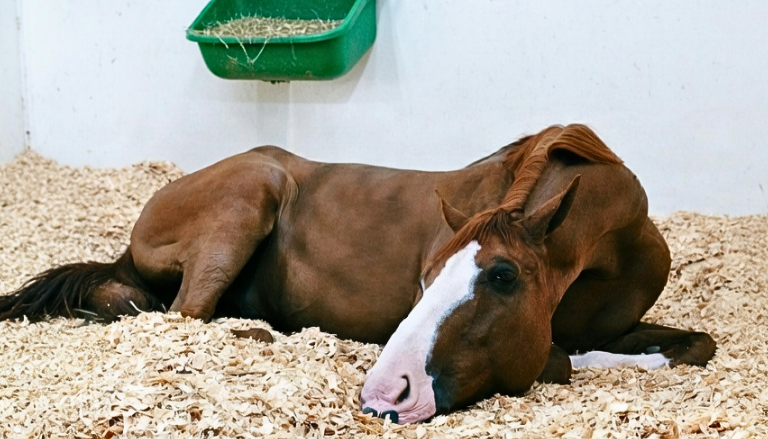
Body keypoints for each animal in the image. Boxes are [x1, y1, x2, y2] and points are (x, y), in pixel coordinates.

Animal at [0, 124, 716, 424]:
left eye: (504, 277)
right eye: (424, 278)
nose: (387, 392)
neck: (609, 254)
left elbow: (696, 346)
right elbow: (563, 359)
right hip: (249, 194)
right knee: (188, 320)